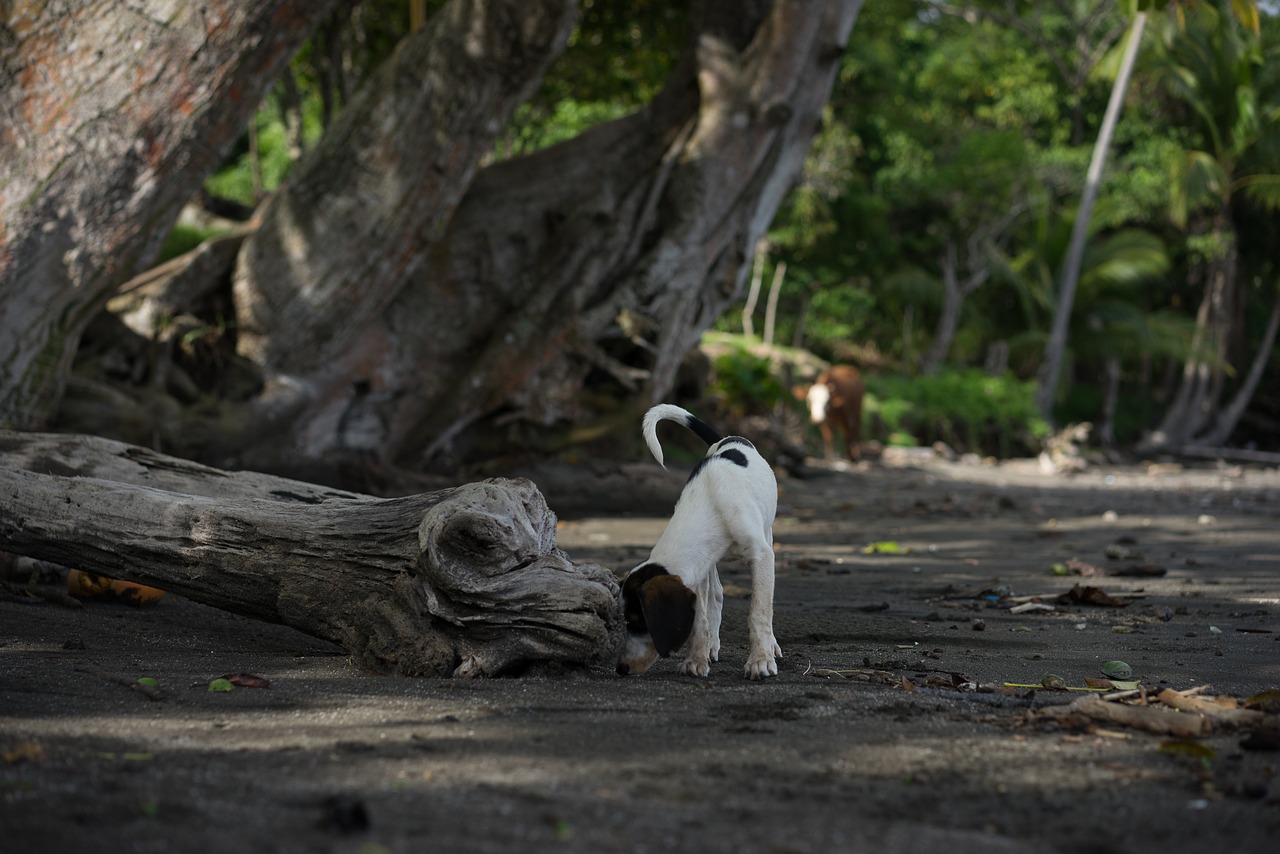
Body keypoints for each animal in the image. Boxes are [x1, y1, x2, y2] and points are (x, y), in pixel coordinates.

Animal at [616, 407, 783, 681]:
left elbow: (759, 611)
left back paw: (771, 646)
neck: (711, 501)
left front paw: (760, 660)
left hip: (767, 533)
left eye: (637, 622)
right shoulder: (698, 570)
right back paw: (712, 646)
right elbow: (700, 621)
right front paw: (696, 659)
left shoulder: (761, 555)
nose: (621, 668)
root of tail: (728, 438)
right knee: (716, 594)